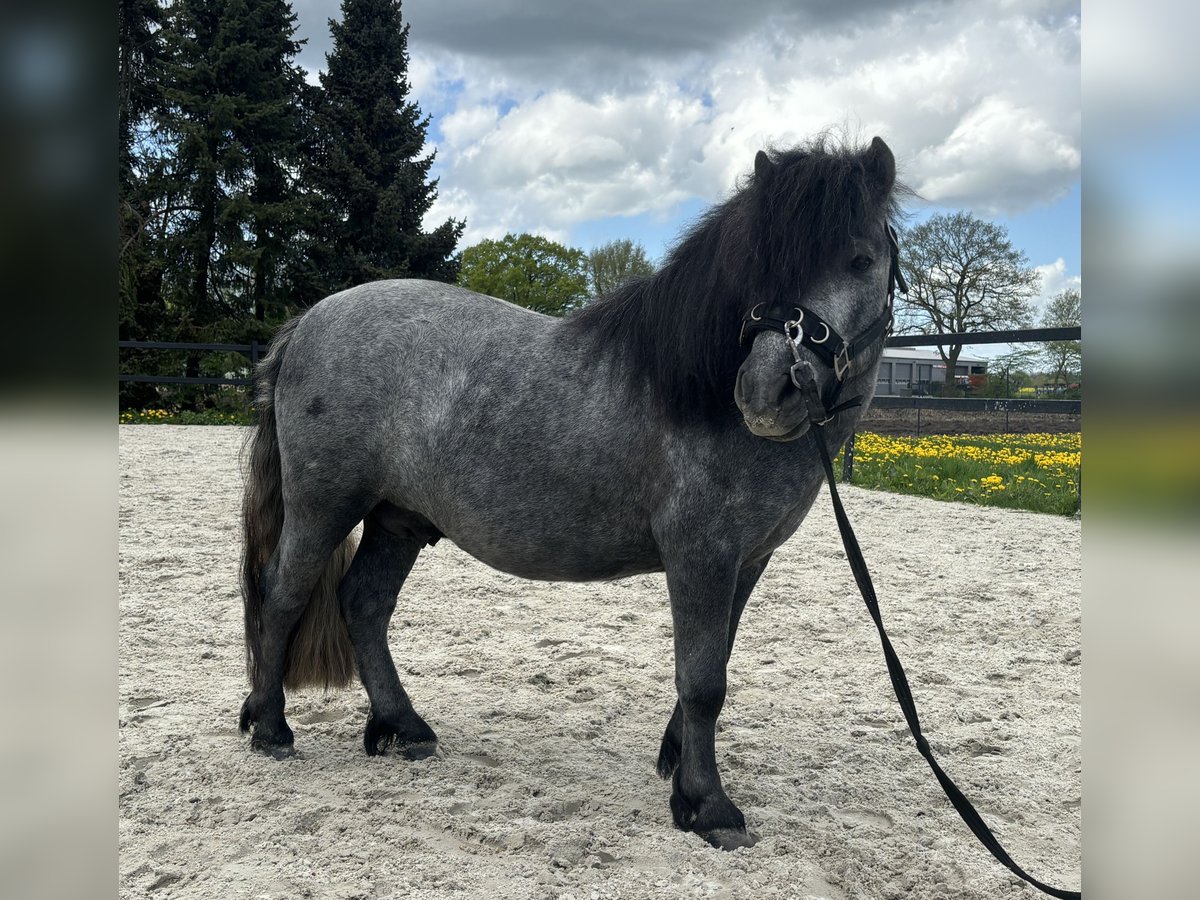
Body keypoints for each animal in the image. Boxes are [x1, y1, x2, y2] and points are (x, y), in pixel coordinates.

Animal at [238, 135, 902, 854]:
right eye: (758, 267)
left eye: (861, 260)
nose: (764, 393)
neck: (696, 395)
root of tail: (309, 320)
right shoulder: (702, 556)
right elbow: (703, 680)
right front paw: (708, 805)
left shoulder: (747, 561)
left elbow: (714, 659)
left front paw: (676, 765)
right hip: (324, 507)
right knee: (283, 595)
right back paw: (272, 728)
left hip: (398, 520)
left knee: (363, 603)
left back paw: (403, 728)